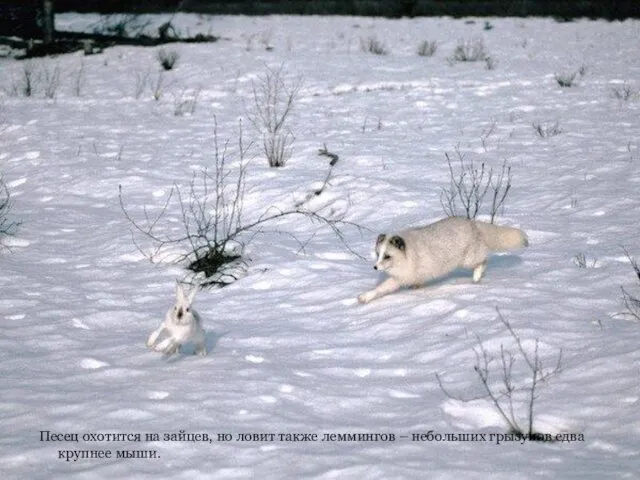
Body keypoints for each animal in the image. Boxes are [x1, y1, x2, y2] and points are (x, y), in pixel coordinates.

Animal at [358, 218, 528, 304]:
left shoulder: (401, 277)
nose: (375, 267)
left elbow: (383, 287)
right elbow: (380, 289)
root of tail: (472, 222)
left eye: (387, 256)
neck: (408, 254)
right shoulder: (405, 277)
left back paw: (476, 277)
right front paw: (365, 297)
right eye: (378, 254)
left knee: (484, 260)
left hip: (467, 259)